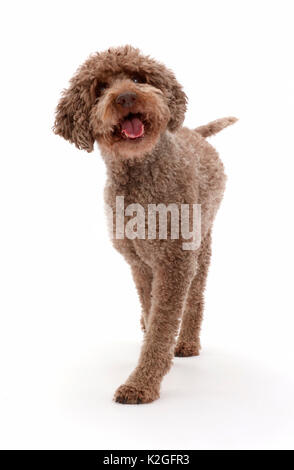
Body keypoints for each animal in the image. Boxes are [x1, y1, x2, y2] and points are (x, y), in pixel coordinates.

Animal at [53, 45, 237, 404]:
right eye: (100, 87)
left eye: (139, 78)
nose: (125, 97)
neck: (141, 177)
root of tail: (195, 132)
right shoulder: (138, 262)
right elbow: (151, 309)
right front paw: (147, 330)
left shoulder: (175, 262)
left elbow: (162, 325)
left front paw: (141, 384)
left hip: (202, 242)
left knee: (196, 296)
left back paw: (187, 341)